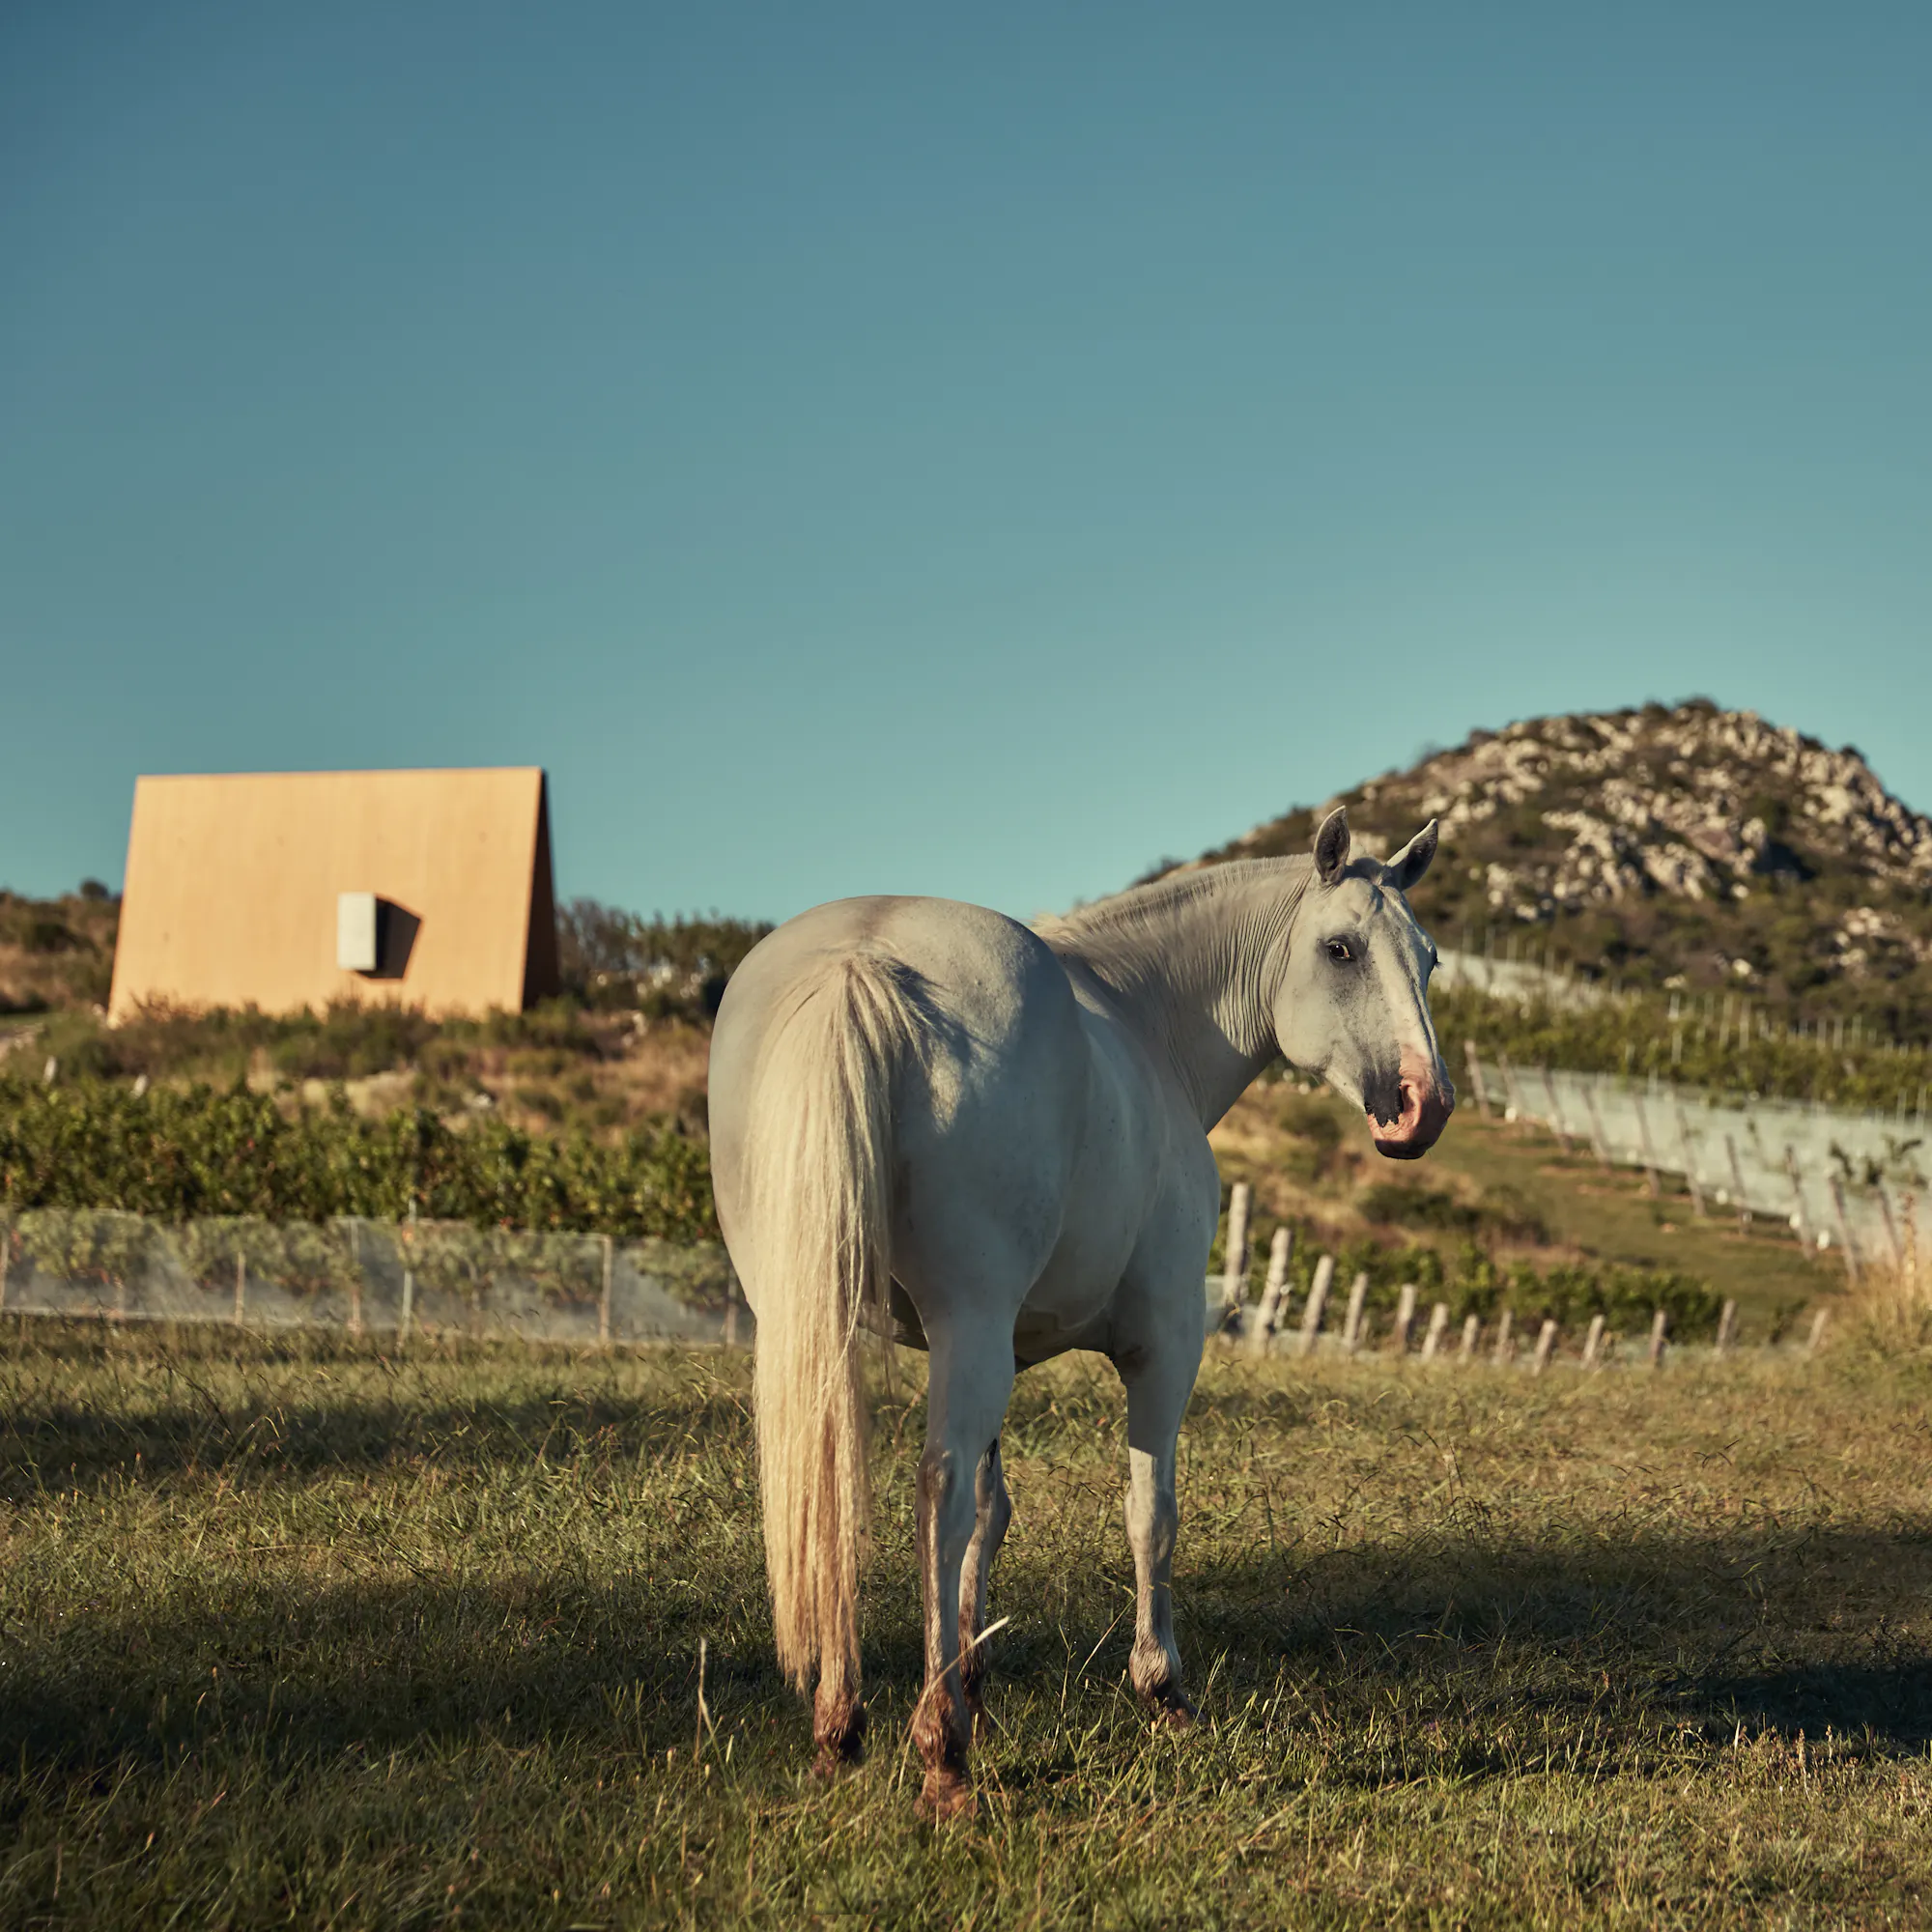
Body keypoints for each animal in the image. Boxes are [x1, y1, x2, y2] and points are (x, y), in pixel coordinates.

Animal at [707, 806, 1453, 1818]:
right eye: (1340, 949)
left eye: (1430, 960)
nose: (1424, 1107)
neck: (1145, 1024)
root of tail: (860, 961)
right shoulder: (1163, 1343)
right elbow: (1149, 1512)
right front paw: (1160, 1688)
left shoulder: (999, 1353)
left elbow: (993, 1515)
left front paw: (974, 1684)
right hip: (968, 1322)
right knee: (934, 1491)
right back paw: (939, 1756)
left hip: (814, 1321)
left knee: (832, 1482)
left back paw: (843, 1726)